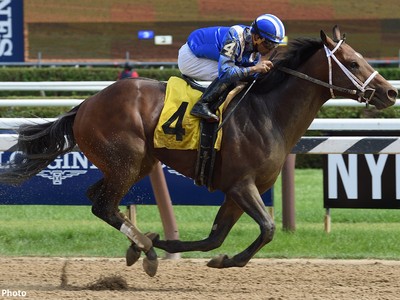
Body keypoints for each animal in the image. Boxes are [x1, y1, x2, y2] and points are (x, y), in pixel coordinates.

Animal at [0, 27, 396, 276]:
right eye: (354, 63)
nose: (390, 92)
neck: (267, 113)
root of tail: (86, 104)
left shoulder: (238, 192)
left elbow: (214, 239)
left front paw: (201, 253)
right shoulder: (240, 185)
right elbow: (267, 229)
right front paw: (204, 255)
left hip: (136, 163)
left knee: (97, 199)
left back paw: (141, 245)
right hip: (126, 160)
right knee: (104, 205)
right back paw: (146, 251)